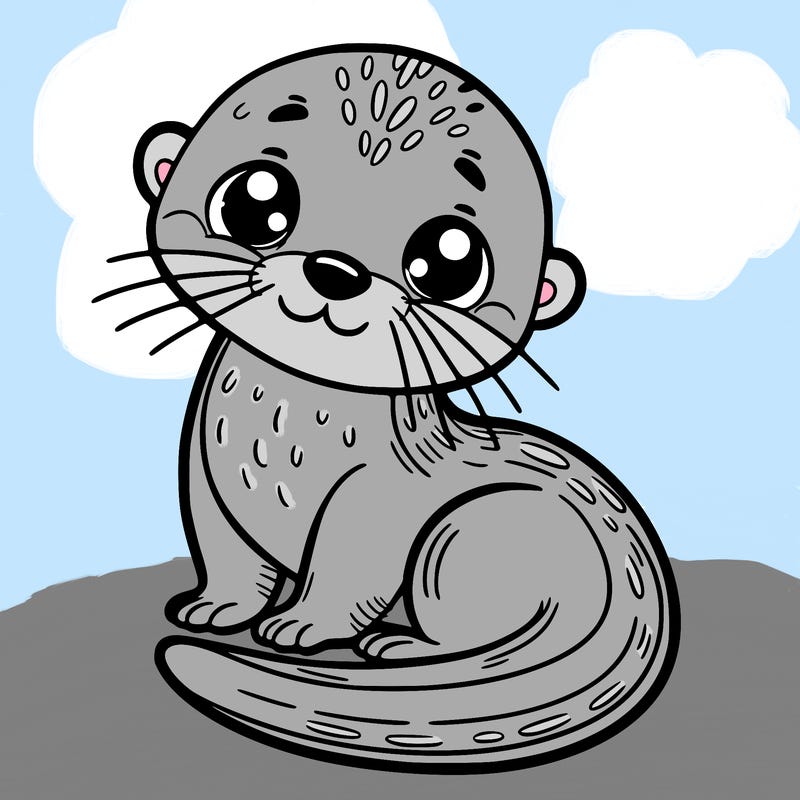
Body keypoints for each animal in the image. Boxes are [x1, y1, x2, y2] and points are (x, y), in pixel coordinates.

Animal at [105, 45, 679, 771]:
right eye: (256, 200)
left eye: (449, 262)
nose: (335, 269)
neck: (282, 434)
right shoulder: (206, 474)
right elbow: (225, 550)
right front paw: (217, 607)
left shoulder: (376, 498)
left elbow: (351, 569)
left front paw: (301, 624)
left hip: (468, 531)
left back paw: (401, 645)